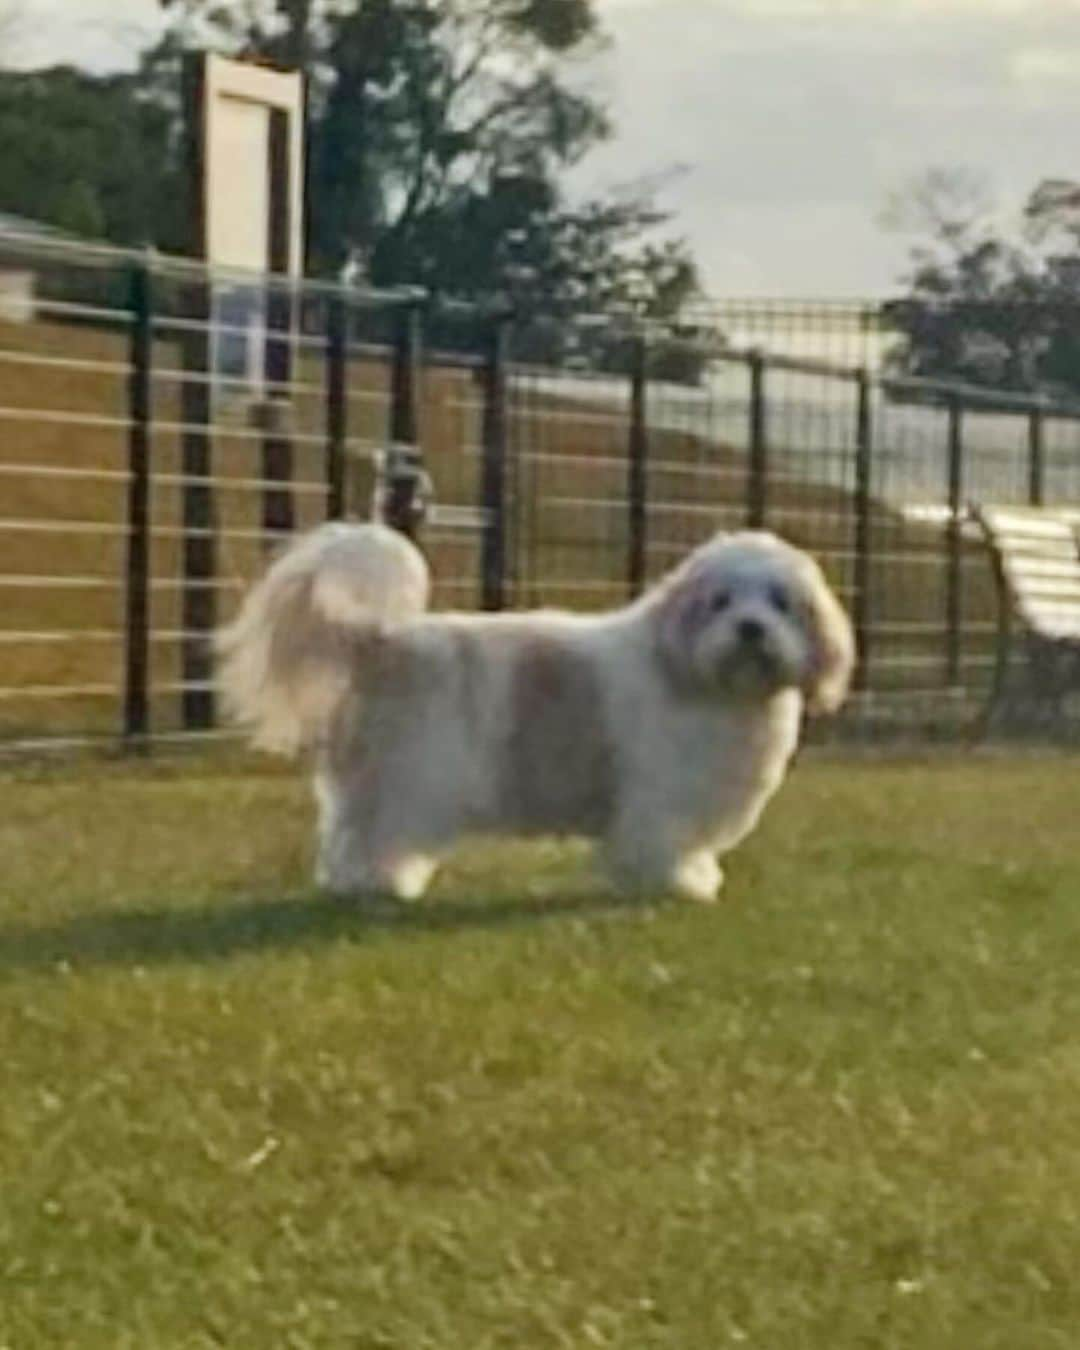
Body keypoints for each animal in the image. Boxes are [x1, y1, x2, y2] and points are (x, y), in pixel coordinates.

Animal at [218, 521, 858, 901]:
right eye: (720, 602)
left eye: (780, 603)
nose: (750, 628)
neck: (699, 676)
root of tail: (383, 640)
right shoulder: (662, 796)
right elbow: (658, 841)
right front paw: (672, 883)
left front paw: (692, 877)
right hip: (414, 774)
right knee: (380, 833)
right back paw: (385, 883)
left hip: (371, 777)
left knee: (345, 833)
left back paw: (355, 884)